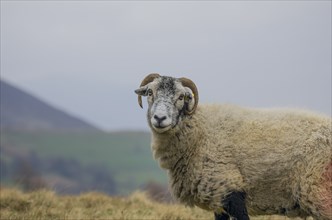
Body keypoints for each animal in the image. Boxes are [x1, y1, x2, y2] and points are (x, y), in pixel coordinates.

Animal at [135, 73, 332, 220]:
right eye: (150, 92)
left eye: (181, 97)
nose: (160, 118)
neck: (199, 133)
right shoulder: (217, 196)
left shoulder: (231, 191)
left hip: (320, 193)